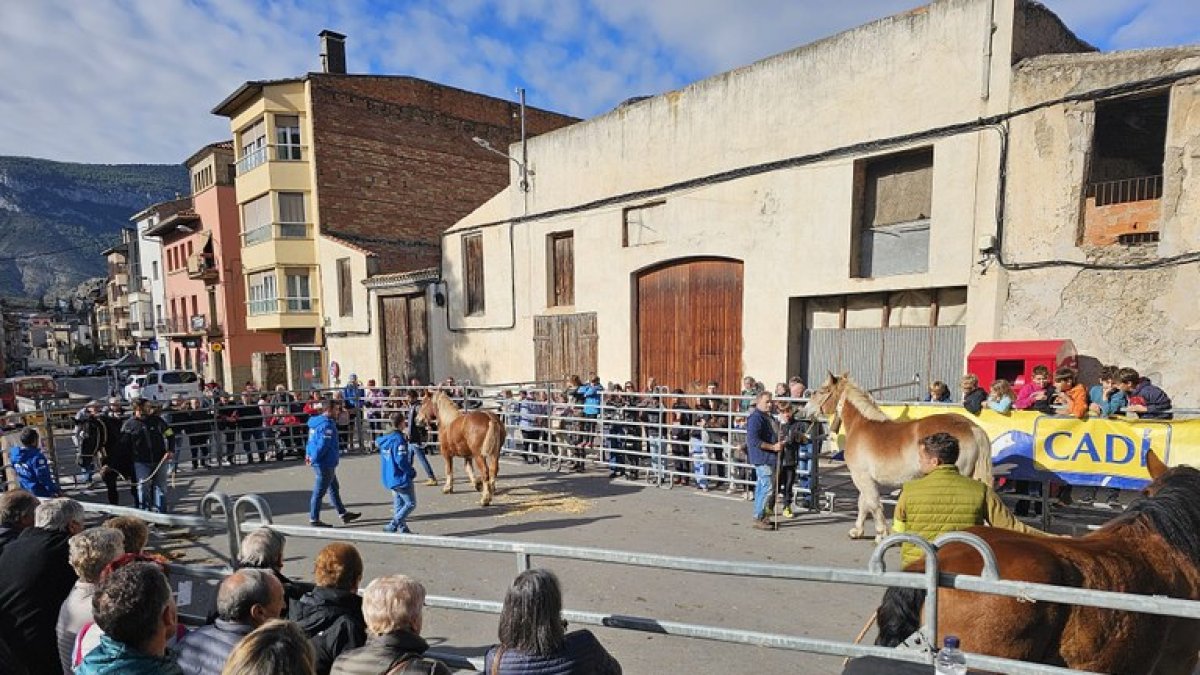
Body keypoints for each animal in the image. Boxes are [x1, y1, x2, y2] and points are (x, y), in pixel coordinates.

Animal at [804, 372, 992, 540]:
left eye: (822, 390)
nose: (804, 411)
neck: (861, 424)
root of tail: (971, 427)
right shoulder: (866, 478)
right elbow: (863, 503)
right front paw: (858, 531)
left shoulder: (861, 476)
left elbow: (873, 504)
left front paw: (881, 534)